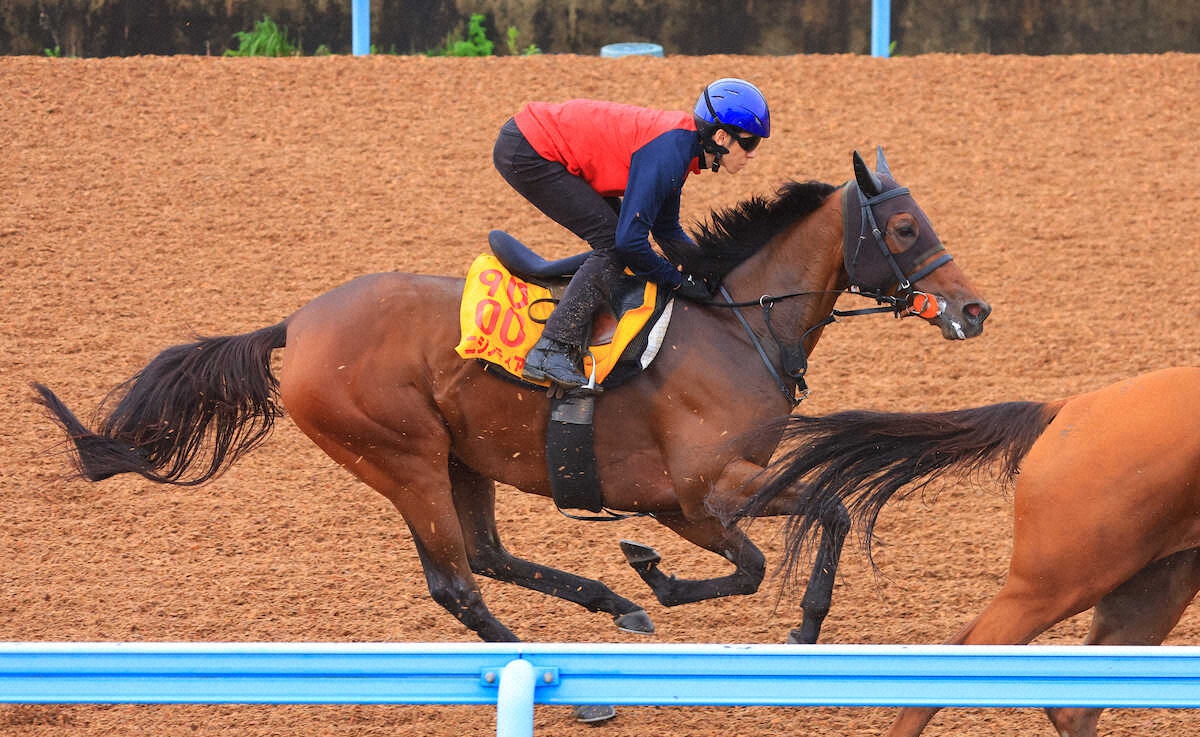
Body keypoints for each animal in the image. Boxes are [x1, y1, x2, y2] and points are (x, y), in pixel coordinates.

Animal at [32, 146, 988, 674]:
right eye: (905, 228)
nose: (974, 309)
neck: (733, 322)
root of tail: (295, 325)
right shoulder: (707, 489)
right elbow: (798, 530)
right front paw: (776, 616)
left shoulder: (687, 499)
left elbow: (786, 539)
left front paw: (661, 581)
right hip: (402, 455)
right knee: (456, 580)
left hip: (461, 457)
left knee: (487, 556)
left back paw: (610, 601)